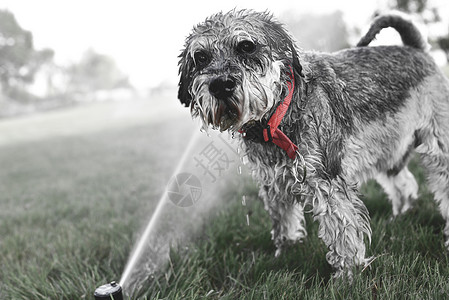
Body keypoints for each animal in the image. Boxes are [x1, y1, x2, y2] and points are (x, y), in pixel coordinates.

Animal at [176, 9, 448, 276]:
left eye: (246, 46)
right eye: (200, 57)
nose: (220, 85)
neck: (279, 116)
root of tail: (416, 48)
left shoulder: (327, 181)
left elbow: (342, 231)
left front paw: (348, 274)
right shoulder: (273, 183)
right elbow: (283, 221)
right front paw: (285, 252)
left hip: (438, 145)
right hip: (389, 150)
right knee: (404, 181)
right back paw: (400, 214)